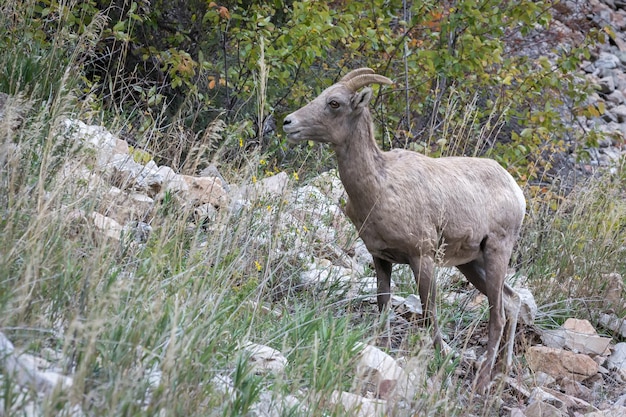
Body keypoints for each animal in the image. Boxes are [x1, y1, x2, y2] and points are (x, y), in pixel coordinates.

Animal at [282, 67, 520, 390]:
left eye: (334, 103)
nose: (288, 122)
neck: (380, 188)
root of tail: (515, 189)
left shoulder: (422, 259)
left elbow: (429, 314)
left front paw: (442, 361)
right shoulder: (381, 257)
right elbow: (383, 303)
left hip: (496, 252)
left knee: (498, 316)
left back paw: (482, 383)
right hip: (471, 263)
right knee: (512, 302)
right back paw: (501, 375)